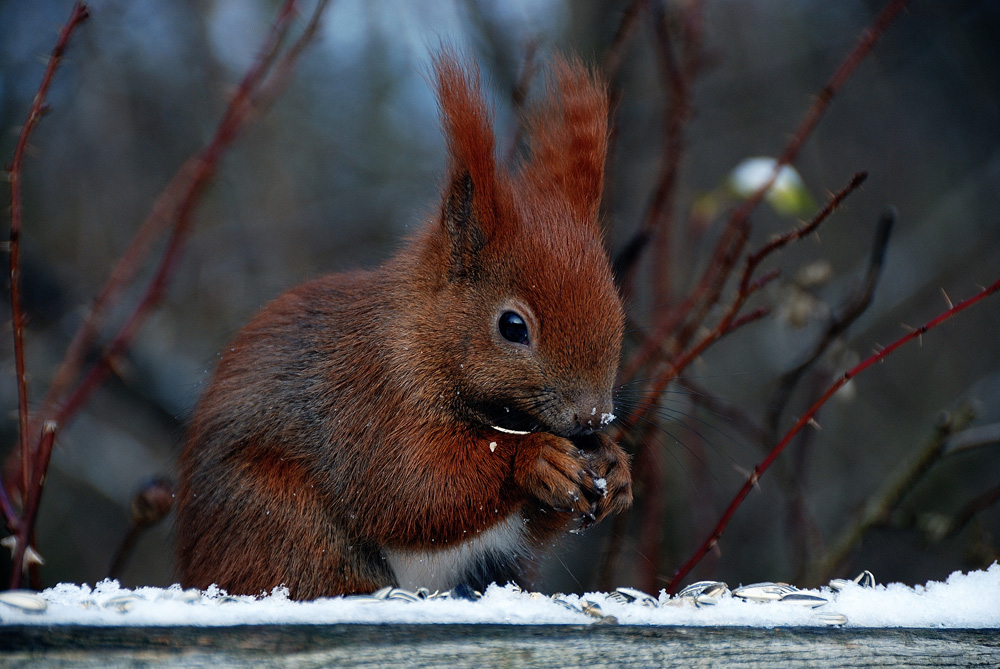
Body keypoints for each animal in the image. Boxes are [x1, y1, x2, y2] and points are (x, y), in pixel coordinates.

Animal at [175, 49, 632, 596]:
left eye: (618, 308)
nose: (594, 418)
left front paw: (616, 466)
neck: (419, 336)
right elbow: (409, 488)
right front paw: (535, 458)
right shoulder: (367, 398)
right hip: (283, 527)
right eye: (512, 327)